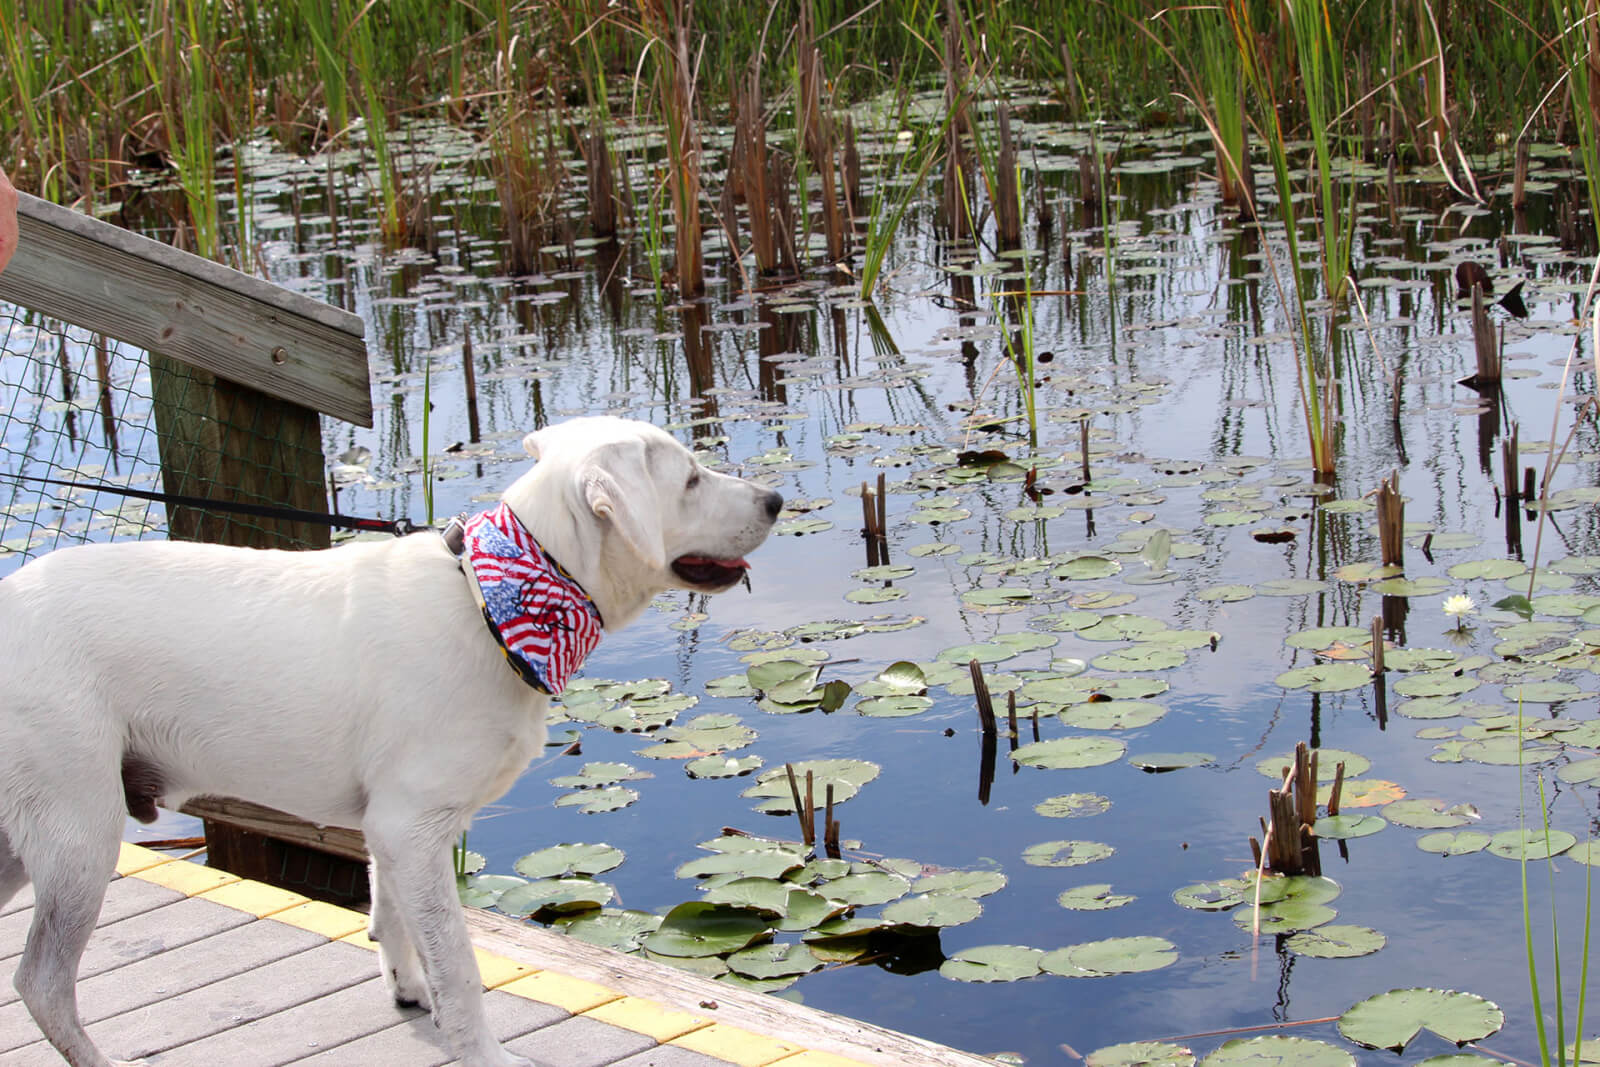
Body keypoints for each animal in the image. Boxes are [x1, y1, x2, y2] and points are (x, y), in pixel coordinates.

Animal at [0, 415, 780, 1067]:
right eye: (689, 480)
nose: (774, 500)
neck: (489, 601)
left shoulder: (389, 827)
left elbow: (392, 914)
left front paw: (408, 987)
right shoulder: (415, 823)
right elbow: (459, 963)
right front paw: (483, 1052)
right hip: (77, 828)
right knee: (41, 981)